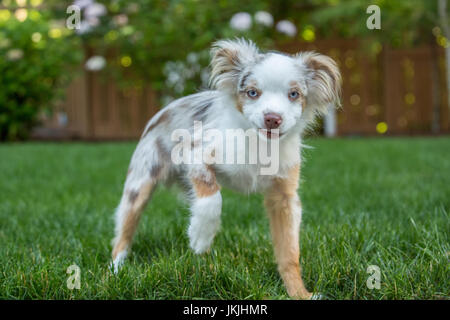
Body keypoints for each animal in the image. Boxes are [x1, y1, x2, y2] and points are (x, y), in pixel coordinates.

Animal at [111, 38, 342, 300]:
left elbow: (290, 253)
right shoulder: (195, 154)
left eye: (294, 94)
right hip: (139, 183)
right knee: (124, 230)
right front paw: (200, 236)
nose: (273, 118)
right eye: (252, 92)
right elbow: (213, 198)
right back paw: (117, 270)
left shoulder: (285, 197)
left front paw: (300, 293)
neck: (259, 144)